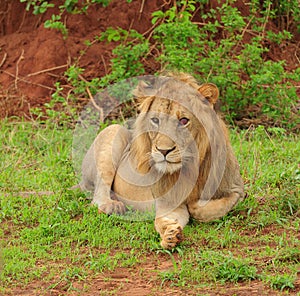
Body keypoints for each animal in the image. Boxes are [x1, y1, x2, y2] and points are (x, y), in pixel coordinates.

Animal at [79, 73, 244, 249]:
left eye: (183, 120)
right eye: (155, 120)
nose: (163, 151)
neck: (191, 166)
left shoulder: (237, 189)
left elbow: (213, 208)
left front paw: (193, 207)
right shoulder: (168, 201)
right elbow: (165, 218)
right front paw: (169, 234)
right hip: (113, 130)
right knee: (97, 196)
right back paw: (112, 206)